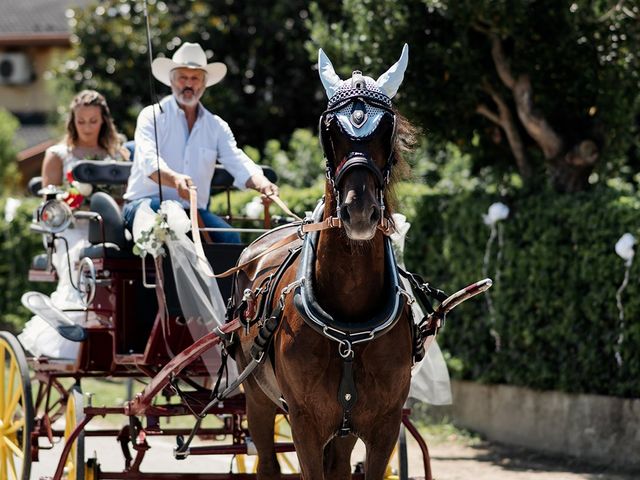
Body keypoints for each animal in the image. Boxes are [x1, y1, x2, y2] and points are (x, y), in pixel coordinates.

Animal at [232, 43, 418, 478]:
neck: (349, 324)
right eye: (330, 130)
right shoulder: (304, 422)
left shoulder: (385, 425)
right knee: (268, 463)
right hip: (257, 398)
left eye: (387, 129)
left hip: (344, 427)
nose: (359, 211)